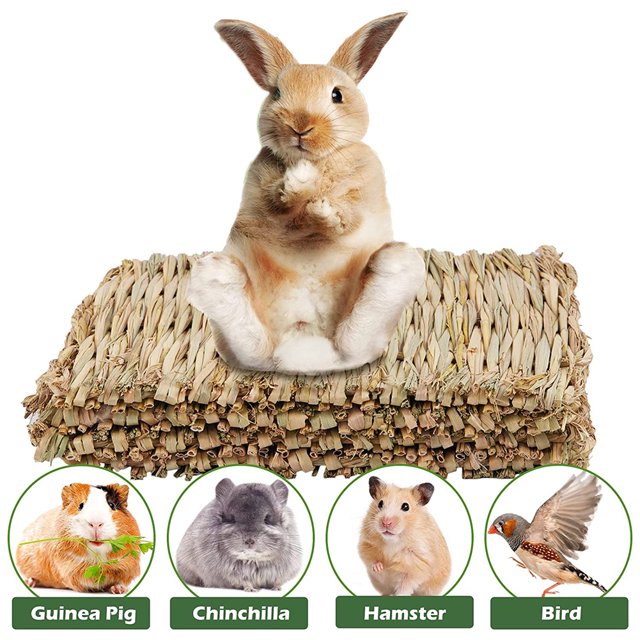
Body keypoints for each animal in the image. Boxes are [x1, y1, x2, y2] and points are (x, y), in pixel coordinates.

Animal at [188, 13, 426, 374]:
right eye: (276, 93)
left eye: (337, 95)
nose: (300, 126)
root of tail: (302, 351)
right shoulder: (261, 196)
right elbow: (278, 207)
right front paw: (299, 184)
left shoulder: (363, 194)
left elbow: (346, 217)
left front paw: (320, 207)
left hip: (376, 307)